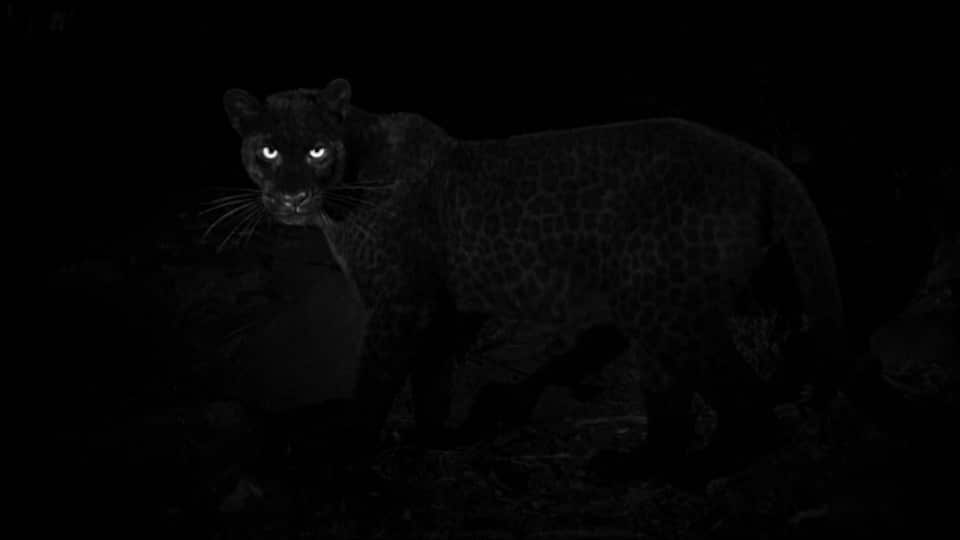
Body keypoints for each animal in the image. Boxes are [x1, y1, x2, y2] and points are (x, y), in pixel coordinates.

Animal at [222, 79, 899, 483]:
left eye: (315, 150)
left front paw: (344, 451)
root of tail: (758, 157)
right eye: (267, 151)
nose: (291, 196)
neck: (350, 176)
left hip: (671, 310)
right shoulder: (434, 308)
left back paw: (699, 470)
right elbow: (432, 379)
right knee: (674, 404)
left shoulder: (398, 305)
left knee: (747, 399)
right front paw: (434, 441)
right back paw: (634, 465)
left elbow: (375, 382)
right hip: (655, 308)